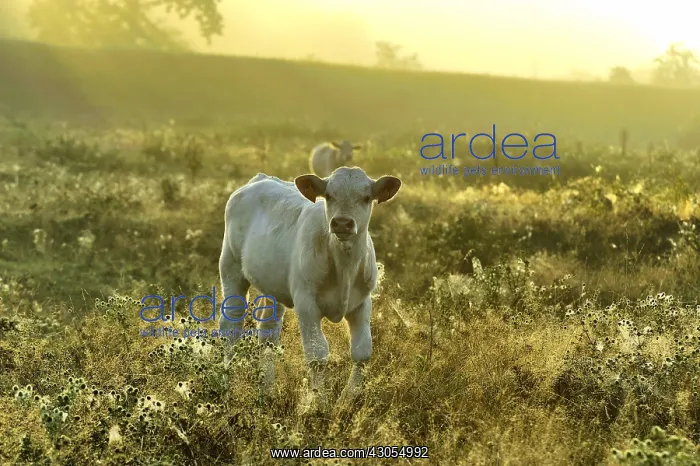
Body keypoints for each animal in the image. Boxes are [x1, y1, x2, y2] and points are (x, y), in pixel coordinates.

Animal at [218, 167, 401, 413]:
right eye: (329, 195)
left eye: (366, 197)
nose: (342, 223)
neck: (344, 266)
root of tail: (260, 178)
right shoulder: (306, 302)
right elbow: (318, 355)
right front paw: (320, 403)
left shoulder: (363, 302)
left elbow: (362, 351)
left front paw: (346, 400)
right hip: (231, 268)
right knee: (231, 329)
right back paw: (225, 389)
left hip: (272, 287)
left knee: (268, 332)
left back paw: (267, 391)